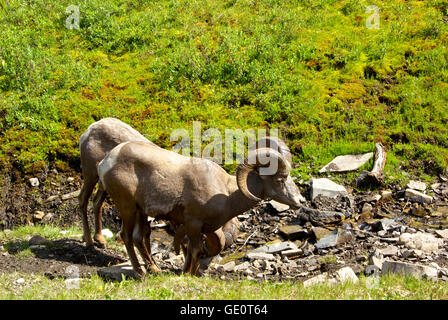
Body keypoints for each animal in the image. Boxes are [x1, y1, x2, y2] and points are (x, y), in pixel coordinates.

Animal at [97, 138, 300, 278]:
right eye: (279, 180)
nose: (299, 200)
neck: (227, 193)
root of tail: (106, 162)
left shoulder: (199, 229)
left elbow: (192, 250)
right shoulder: (193, 224)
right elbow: (194, 250)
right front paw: (189, 275)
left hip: (140, 212)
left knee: (138, 238)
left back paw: (155, 269)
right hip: (127, 208)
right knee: (126, 236)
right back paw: (140, 273)